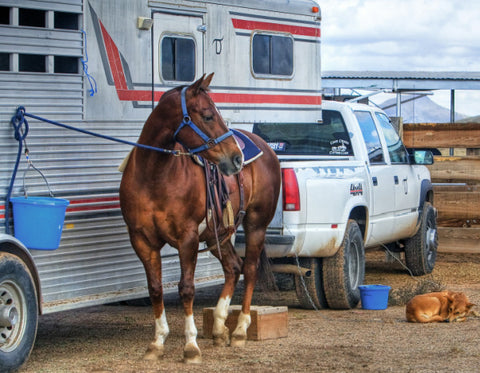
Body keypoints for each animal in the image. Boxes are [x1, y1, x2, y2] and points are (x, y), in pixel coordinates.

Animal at [118, 74, 280, 362]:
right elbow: (155, 287)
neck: (154, 176)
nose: (236, 158)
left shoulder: (187, 238)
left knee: (249, 269)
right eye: (207, 115)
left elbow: (186, 288)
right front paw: (157, 342)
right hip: (218, 235)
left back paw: (240, 330)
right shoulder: (142, 240)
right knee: (233, 267)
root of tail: (266, 148)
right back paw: (218, 328)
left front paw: (190, 345)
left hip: (256, 225)